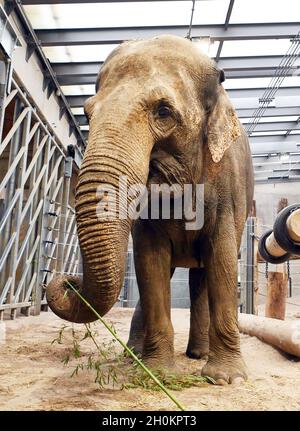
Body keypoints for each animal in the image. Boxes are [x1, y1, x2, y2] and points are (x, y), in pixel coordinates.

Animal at [46, 36, 253, 384]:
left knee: (202, 275)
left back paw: (199, 355)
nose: (69, 281)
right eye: (87, 113)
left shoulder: (229, 184)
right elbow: (149, 261)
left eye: (164, 111)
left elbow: (223, 258)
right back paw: (135, 356)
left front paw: (227, 379)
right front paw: (159, 374)